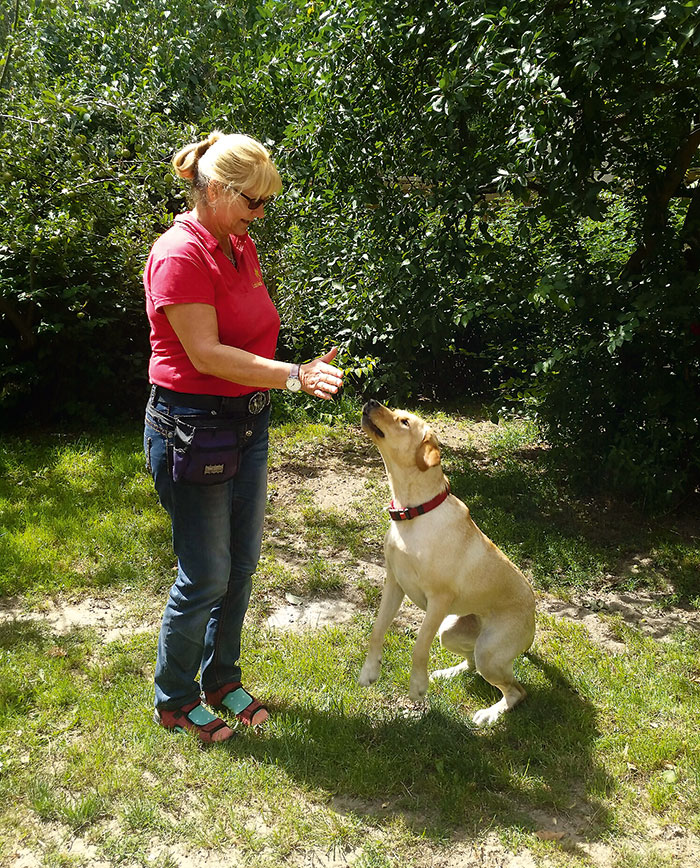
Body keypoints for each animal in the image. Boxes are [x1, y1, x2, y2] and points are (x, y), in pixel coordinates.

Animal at [360, 400, 536, 724]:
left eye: (404, 422)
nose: (371, 401)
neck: (413, 513)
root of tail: (534, 613)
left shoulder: (438, 601)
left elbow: (419, 646)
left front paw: (417, 687)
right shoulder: (394, 583)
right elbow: (377, 630)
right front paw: (370, 671)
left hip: (488, 652)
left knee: (515, 690)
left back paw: (490, 714)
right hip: (451, 633)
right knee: (471, 665)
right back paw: (447, 673)